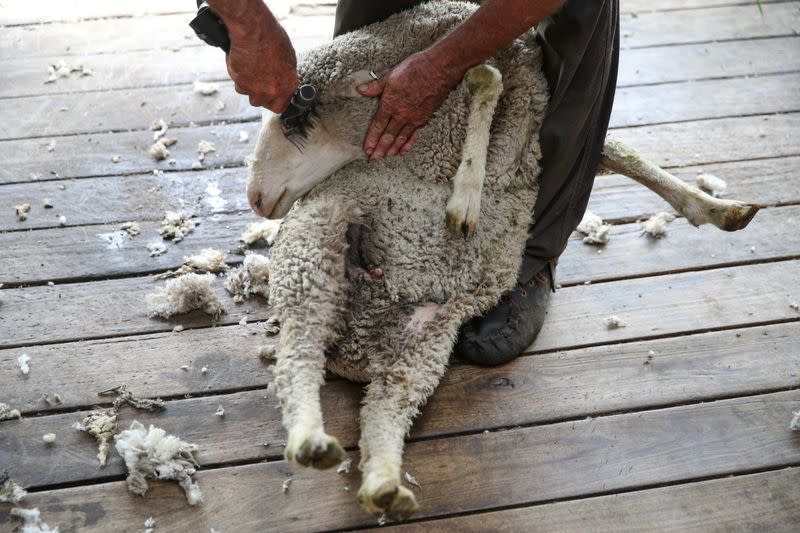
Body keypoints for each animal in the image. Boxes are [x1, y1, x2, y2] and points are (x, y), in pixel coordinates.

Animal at [247, 2, 760, 520]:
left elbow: (618, 151)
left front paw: (717, 209)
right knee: (296, 361)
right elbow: (489, 84)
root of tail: (353, 351)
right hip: (312, 251)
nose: (254, 198)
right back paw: (312, 442)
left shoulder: (530, 139)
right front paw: (465, 201)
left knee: (383, 413)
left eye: (293, 122)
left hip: (423, 343)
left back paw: (384, 484)